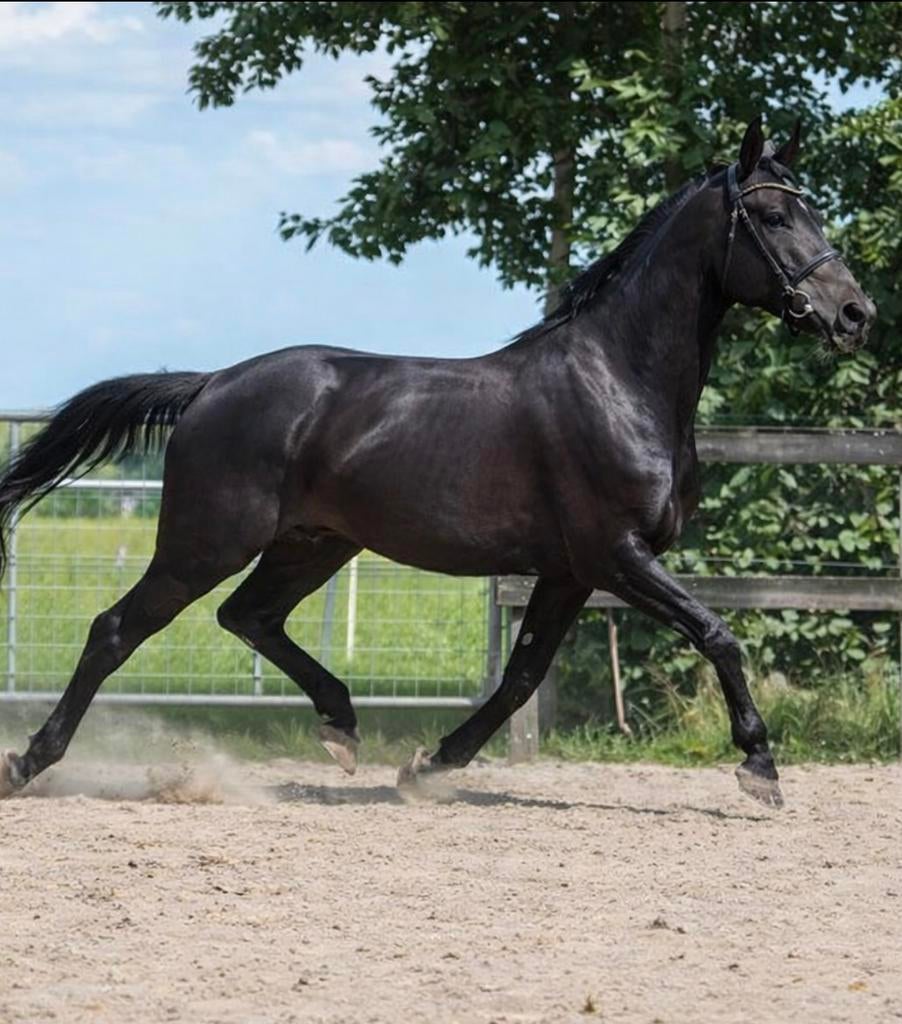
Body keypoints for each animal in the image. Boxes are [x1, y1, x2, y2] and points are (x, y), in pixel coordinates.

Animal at [0, 117, 874, 807]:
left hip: (313, 545)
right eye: (771, 214)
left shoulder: (569, 572)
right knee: (118, 629)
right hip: (206, 541)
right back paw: (29, 763)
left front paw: (428, 767)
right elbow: (718, 634)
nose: (854, 314)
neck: (618, 381)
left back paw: (343, 726)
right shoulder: (615, 555)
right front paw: (760, 768)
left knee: (248, 617)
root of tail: (212, 383)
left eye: (814, 208)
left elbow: (520, 678)